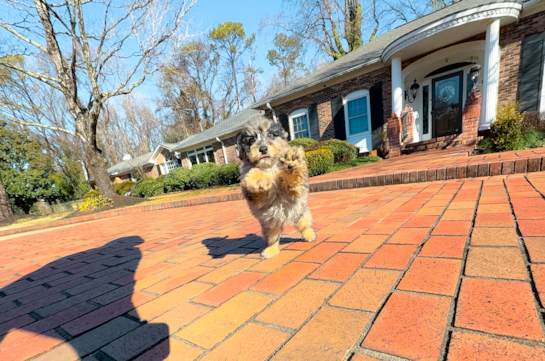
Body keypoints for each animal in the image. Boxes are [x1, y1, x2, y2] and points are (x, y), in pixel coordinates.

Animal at [236, 116, 316, 258]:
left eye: (270, 135)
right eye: (251, 140)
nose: (263, 148)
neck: (269, 166)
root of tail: (284, 221)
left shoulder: (293, 190)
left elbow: (293, 179)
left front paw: (292, 161)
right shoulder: (256, 199)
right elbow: (255, 181)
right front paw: (258, 179)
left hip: (299, 214)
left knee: (304, 225)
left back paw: (309, 235)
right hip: (270, 226)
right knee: (273, 239)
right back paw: (270, 251)